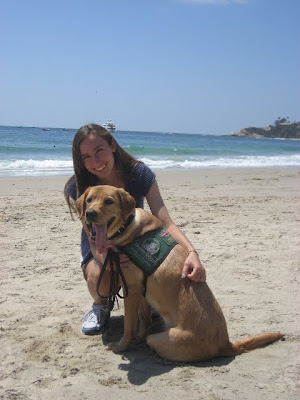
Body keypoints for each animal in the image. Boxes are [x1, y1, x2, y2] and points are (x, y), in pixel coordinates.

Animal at [75, 184, 284, 362]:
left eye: (108, 201)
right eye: (89, 199)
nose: (90, 213)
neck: (128, 227)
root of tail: (225, 345)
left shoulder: (132, 290)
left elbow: (129, 326)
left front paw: (121, 346)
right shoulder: (142, 290)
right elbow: (143, 319)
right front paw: (137, 337)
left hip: (159, 338)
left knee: (153, 342)